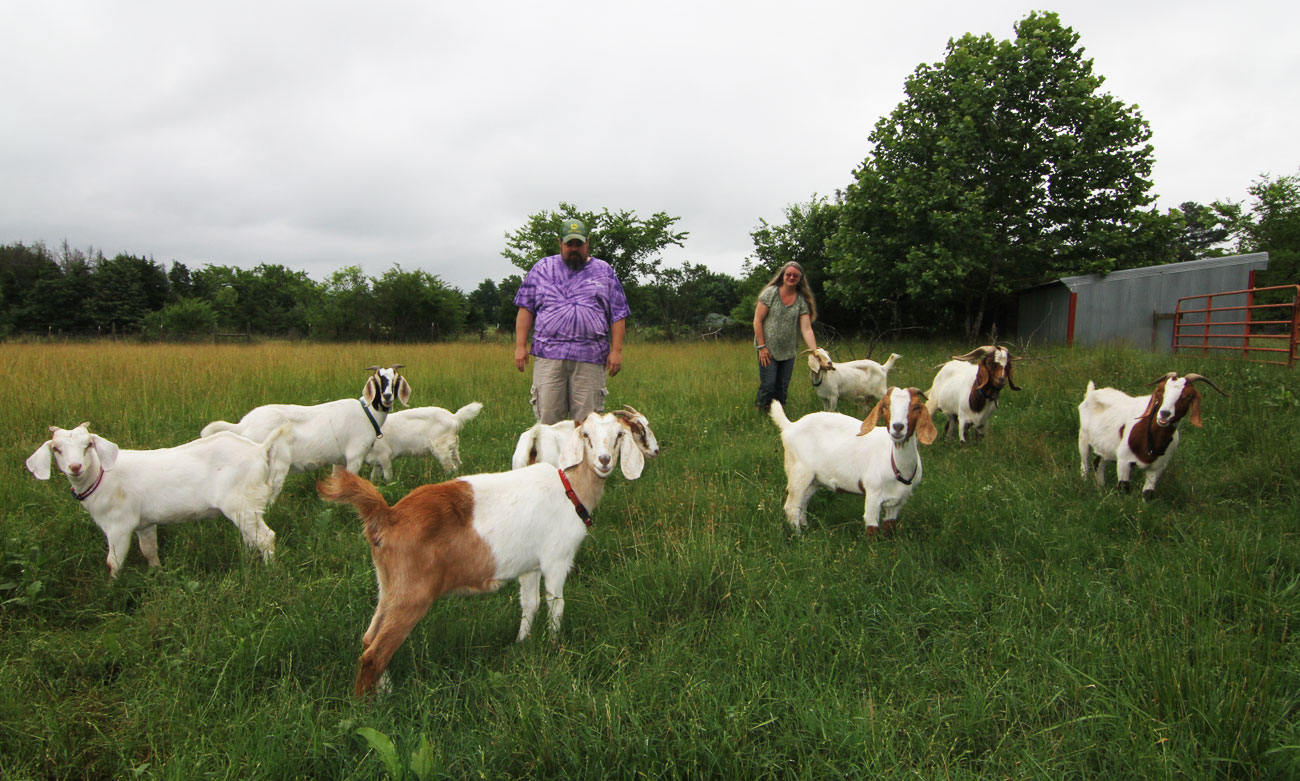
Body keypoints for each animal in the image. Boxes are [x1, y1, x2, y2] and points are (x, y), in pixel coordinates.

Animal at [25, 422, 294, 578]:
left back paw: (269, 573)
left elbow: (113, 562)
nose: (75, 467)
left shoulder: (118, 526)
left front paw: (112, 590)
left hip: (242, 504)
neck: (101, 476)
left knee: (266, 538)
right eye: (57, 449)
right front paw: (157, 574)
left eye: (88, 444)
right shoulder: (144, 523)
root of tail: (259, 449)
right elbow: (149, 551)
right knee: (251, 538)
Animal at [201, 366, 411, 485]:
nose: (387, 396)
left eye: (395, 380)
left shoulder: (338, 459)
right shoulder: (354, 456)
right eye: (377, 379)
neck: (367, 412)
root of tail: (242, 426)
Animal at [318, 411, 645, 696]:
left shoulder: (529, 566)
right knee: (375, 652)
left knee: (370, 638)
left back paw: (385, 690)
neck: (569, 488)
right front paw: (554, 646)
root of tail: (386, 515)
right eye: (586, 435)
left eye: (618, 435)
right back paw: (368, 707)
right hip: (411, 593)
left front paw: (522, 644)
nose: (604, 461)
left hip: (388, 587)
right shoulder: (556, 559)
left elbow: (530, 604)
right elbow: (556, 604)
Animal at [769, 388, 937, 536]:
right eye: (885, 406)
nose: (898, 427)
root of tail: (790, 426)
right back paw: (798, 536)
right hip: (799, 472)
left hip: (815, 479)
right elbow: (872, 528)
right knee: (791, 506)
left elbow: (889, 527)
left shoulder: (897, 502)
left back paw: (805, 528)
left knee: (803, 503)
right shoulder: (873, 494)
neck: (897, 465)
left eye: (916, 406)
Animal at [1077, 372, 1228, 500]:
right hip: (1083, 439)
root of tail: (1092, 392)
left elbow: (1148, 494)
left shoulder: (1157, 467)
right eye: (1161, 391)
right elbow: (1123, 489)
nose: (1164, 414)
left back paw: (1100, 487)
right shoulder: (1124, 461)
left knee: (1098, 463)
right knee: (1085, 465)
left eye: (1187, 396)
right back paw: (1085, 484)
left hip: (1106, 447)